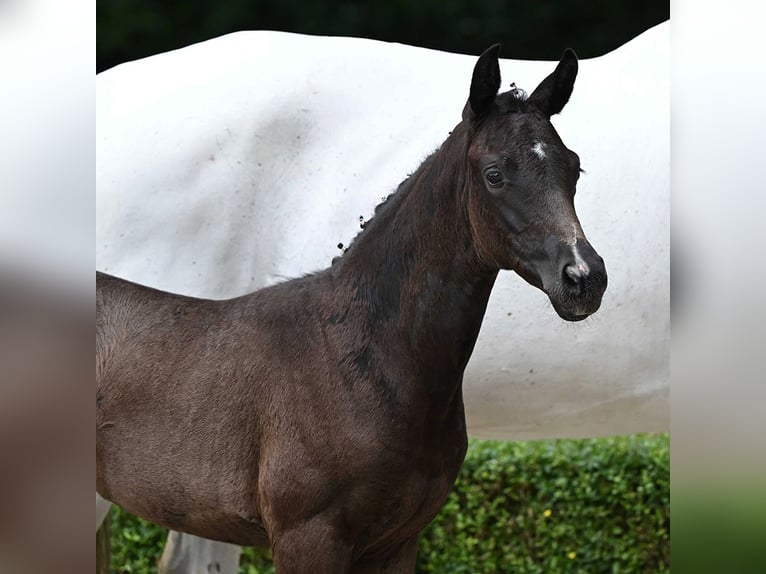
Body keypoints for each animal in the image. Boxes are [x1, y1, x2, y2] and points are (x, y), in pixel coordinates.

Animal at [99, 20, 668, 572]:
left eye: (574, 166)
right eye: (494, 174)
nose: (584, 279)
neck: (357, 357)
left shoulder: (397, 541)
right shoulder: (308, 537)